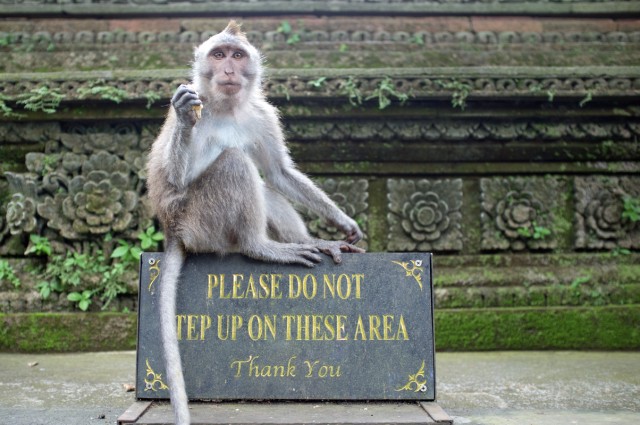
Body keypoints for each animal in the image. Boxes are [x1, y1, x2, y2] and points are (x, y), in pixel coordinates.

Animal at [145, 21, 364, 425]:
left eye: (237, 55)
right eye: (218, 55)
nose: (229, 69)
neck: (227, 108)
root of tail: (172, 231)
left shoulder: (261, 115)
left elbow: (279, 173)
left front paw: (342, 220)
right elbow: (175, 181)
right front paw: (183, 116)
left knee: (265, 187)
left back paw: (313, 243)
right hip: (198, 221)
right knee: (235, 163)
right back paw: (260, 247)